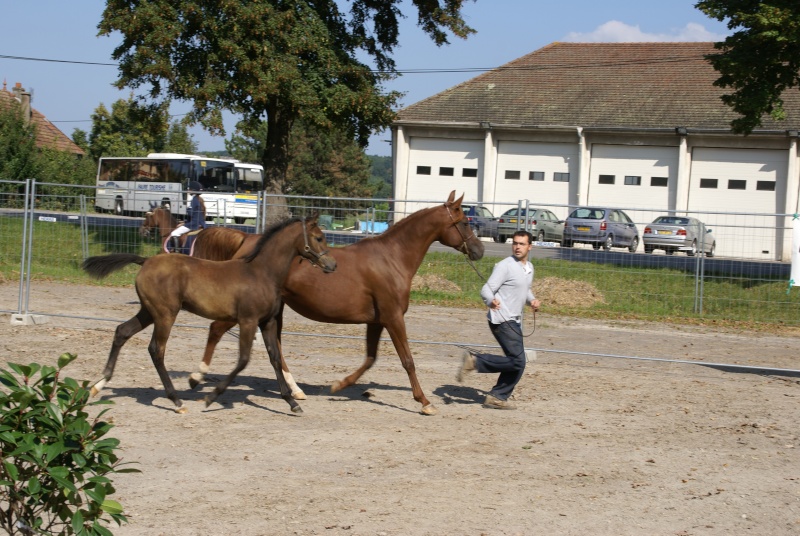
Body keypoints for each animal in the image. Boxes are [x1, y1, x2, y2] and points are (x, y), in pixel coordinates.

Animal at [83, 215, 338, 414]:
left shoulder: (267, 322)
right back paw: (176, 401)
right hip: (165, 314)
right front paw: (210, 397)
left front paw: (292, 402)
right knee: (156, 349)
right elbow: (243, 360)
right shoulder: (248, 321)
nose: (332, 264)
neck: (262, 273)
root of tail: (145, 261)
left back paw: (98, 385)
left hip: (148, 311)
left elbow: (274, 356)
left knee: (122, 332)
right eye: (318, 237)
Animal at [191, 191, 484, 416]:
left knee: (275, 346)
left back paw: (296, 392)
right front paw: (424, 402)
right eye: (464, 223)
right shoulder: (393, 318)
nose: (479, 250)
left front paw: (337, 385)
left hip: (274, 310)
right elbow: (407, 360)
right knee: (216, 329)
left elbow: (370, 358)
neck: (392, 258)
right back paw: (197, 377)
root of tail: (246, 240)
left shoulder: (377, 321)